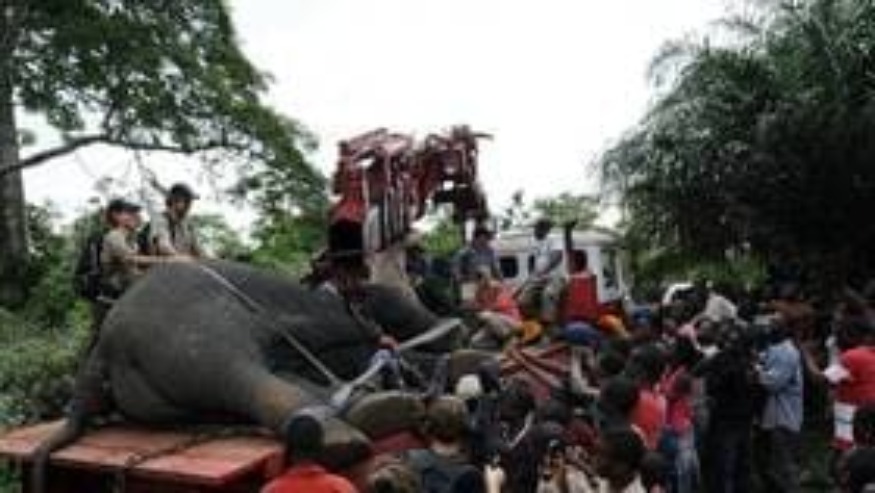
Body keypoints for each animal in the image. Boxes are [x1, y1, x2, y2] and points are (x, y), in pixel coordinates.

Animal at [32, 259, 489, 490]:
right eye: (412, 302)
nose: (458, 324)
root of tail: (102, 348)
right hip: (190, 337)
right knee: (240, 374)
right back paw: (351, 434)